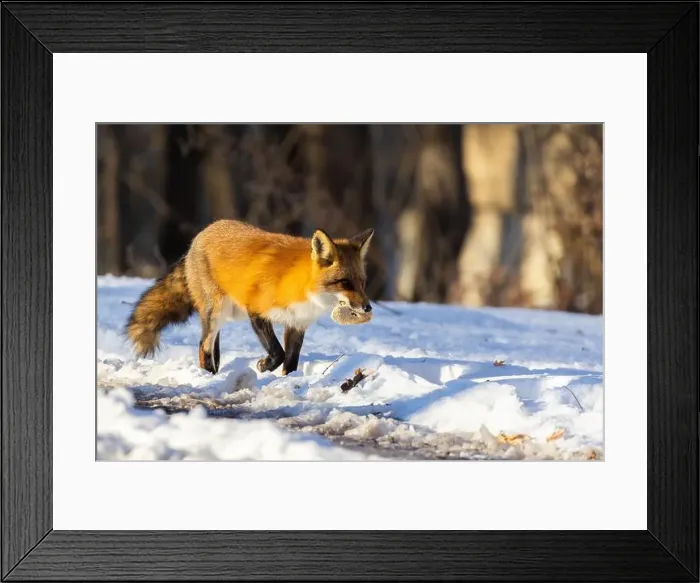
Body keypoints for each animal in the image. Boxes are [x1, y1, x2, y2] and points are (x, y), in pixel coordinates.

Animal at [126, 219, 374, 376]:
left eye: (362, 282)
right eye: (345, 282)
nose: (368, 308)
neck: (302, 289)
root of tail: (201, 233)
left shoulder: (296, 324)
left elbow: (290, 362)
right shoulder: (256, 310)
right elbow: (278, 353)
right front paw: (264, 366)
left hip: (227, 314)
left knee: (212, 343)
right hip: (217, 310)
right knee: (203, 345)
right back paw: (207, 375)